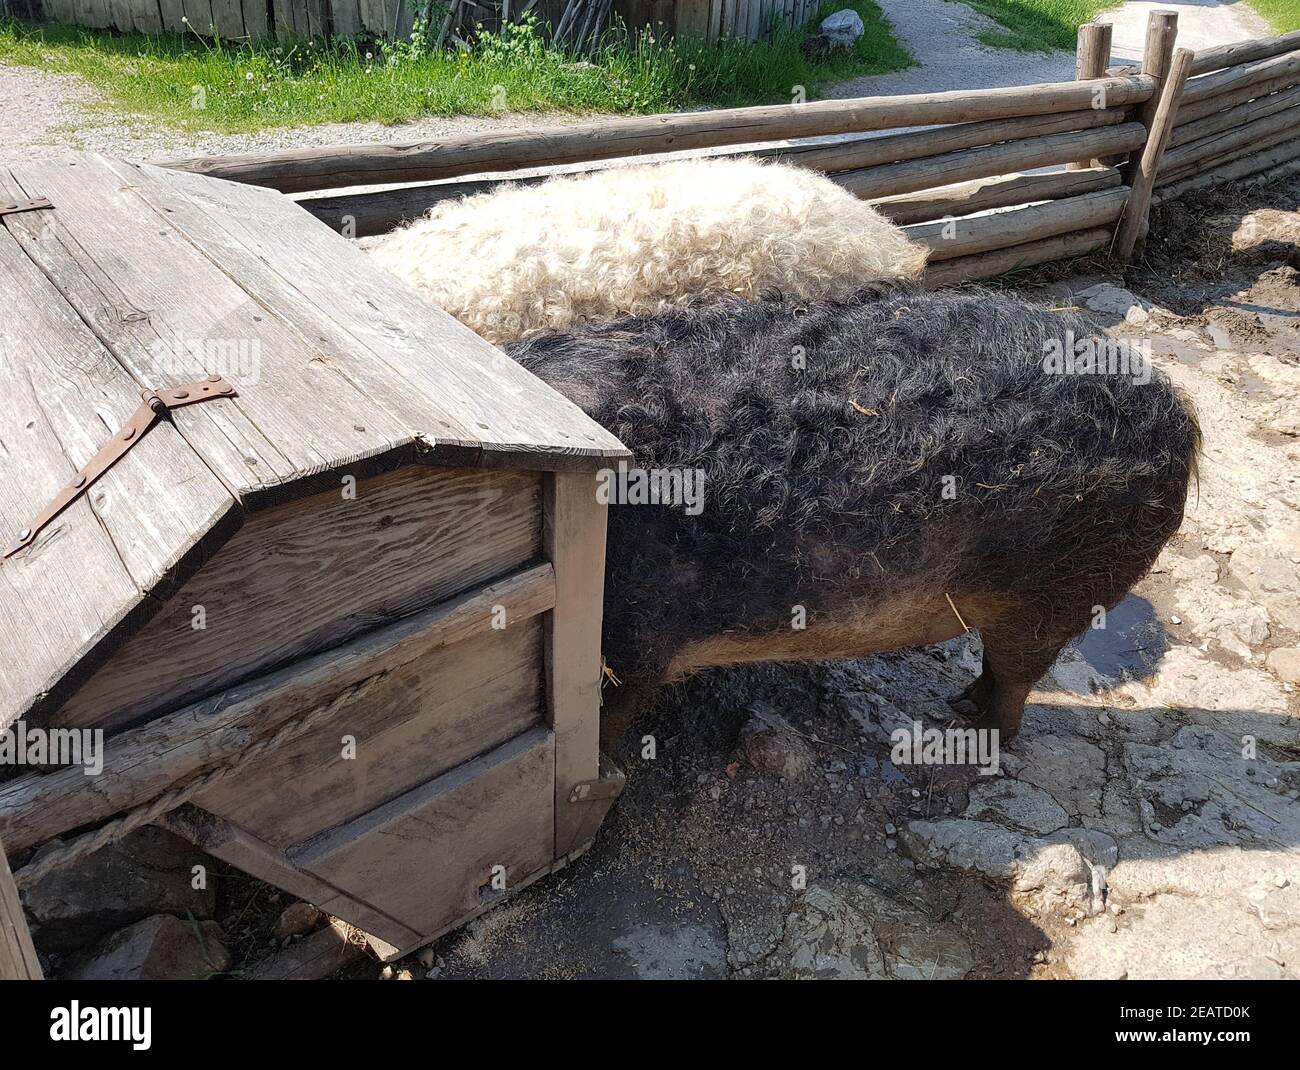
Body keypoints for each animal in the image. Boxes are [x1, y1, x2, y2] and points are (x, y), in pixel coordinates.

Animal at [504, 280, 1196, 738]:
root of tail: (1174, 411)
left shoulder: (638, 640)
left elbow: (613, 713)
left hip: (1061, 590)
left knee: (1016, 675)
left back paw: (973, 730)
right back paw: (962, 709)